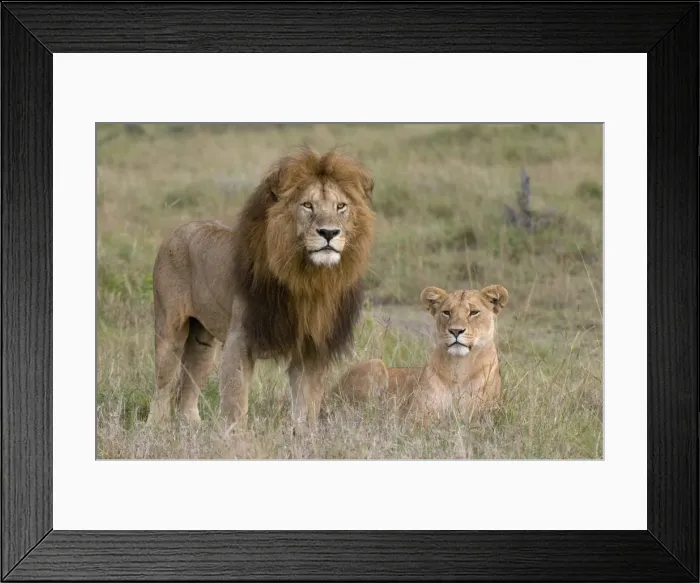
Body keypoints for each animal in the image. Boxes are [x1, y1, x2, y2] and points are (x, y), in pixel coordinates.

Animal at [146, 146, 375, 431]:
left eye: (340, 206)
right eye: (307, 205)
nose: (329, 232)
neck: (307, 277)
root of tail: (179, 229)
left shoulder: (310, 348)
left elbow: (307, 406)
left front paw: (304, 436)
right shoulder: (240, 340)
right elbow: (236, 404)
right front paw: (236, 438)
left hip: (203, 342)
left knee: (188, 388)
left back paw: (192, 427)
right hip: (170, 330)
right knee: (162, 386)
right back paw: (155, 429)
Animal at [328, 284, 509, 425]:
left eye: (473, 312)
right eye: (446, 312)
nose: (455, 331)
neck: (460, 367)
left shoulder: (484, 417)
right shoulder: (415, 416)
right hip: (375, 365)